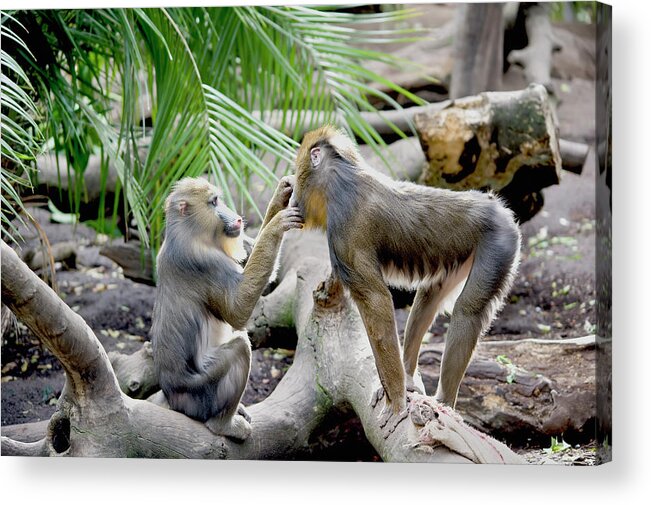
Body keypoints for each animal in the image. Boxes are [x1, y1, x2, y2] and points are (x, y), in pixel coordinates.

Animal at [152, 175, 304, 440]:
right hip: (203, 393)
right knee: (240, 346)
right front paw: (277, 224)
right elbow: (237, 311)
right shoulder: (205, 262)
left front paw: (281, 193)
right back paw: (224, 425)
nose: (238, 219)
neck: (188, 232)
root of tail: (173, 397)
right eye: (213, 202)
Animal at [292, 126, 524, 418]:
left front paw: (398, 401)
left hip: (498, 244)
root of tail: (499, 208)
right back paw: (410, 377)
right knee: (429, 297)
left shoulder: (346, 235)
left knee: (468, 310)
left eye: (298, 173)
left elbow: (376, 300)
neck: (342, 177)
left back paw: (443, 401)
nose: (292, 198)